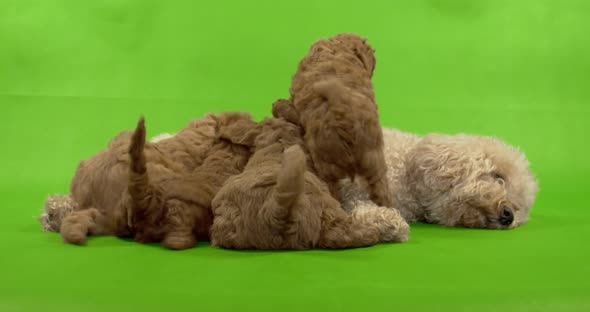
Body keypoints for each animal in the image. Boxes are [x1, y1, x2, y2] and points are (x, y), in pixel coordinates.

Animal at [286, 32, 394, 207]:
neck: (337, 50)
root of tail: (344, 114)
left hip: (325, 163)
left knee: (332, 189)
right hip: (374, 158)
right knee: (380, 188)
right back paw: (389, 208)